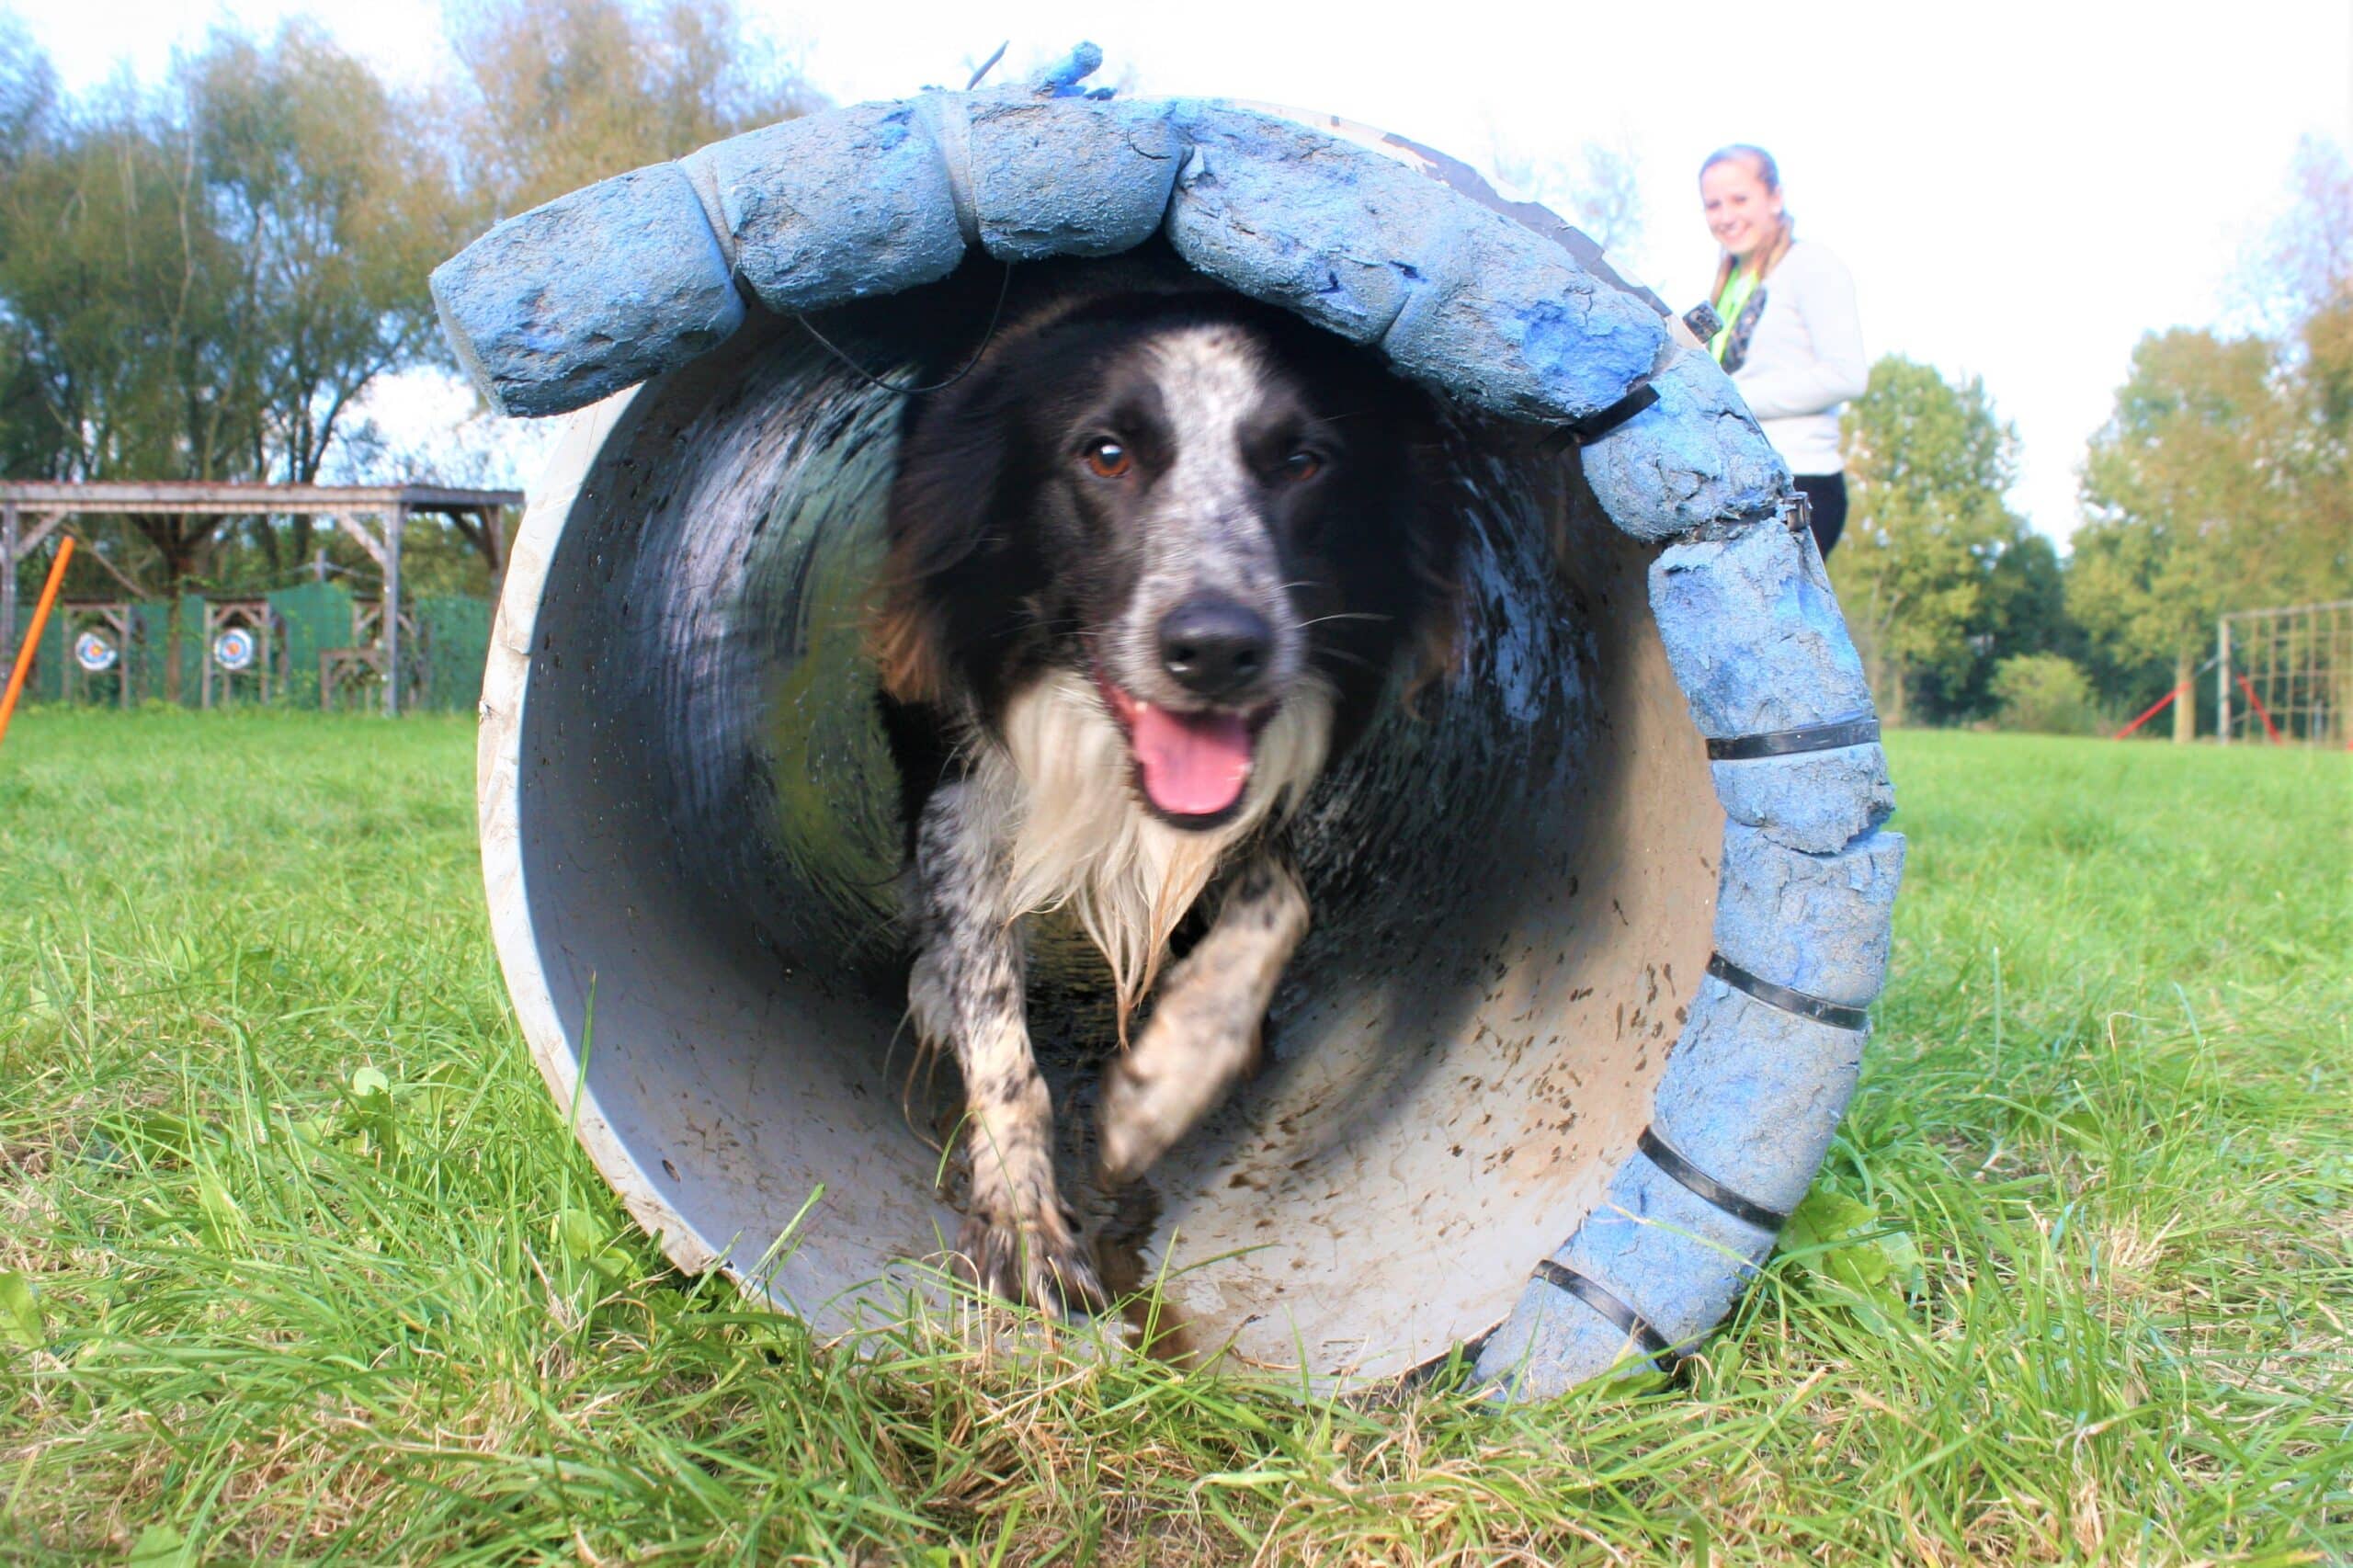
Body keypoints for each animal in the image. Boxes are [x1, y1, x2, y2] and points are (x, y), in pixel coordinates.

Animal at [870, 290, 1449, 1309]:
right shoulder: (954, 757)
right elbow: (996, 1018)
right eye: (1107, 454)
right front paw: (1024, 1223)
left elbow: (1278, 903)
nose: (1217, 648)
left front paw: (1161, 1088)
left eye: (1303, 462)